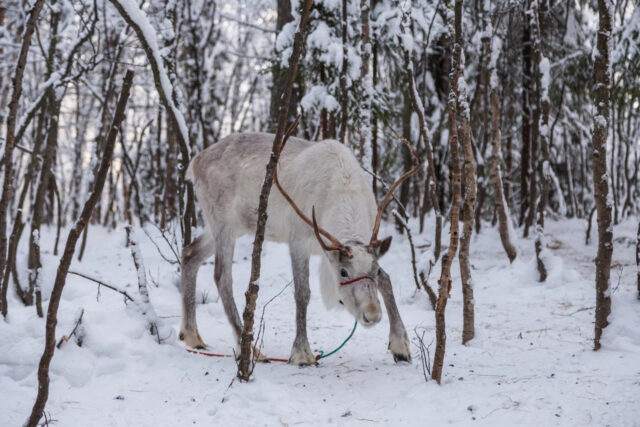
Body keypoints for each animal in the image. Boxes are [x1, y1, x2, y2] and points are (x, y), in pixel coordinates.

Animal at [180, 126, 419, 365]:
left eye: (374, 270)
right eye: (343, 272)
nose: (372, 315)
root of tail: (196, 162)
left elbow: (386, 280)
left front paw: (400, 345)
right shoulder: (298, 241)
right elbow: (302, 293)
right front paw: (302, 353)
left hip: (230, 225)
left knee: (190, 253)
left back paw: (192, 335)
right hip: (223, 223)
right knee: (222, 277)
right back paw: (251, 349)